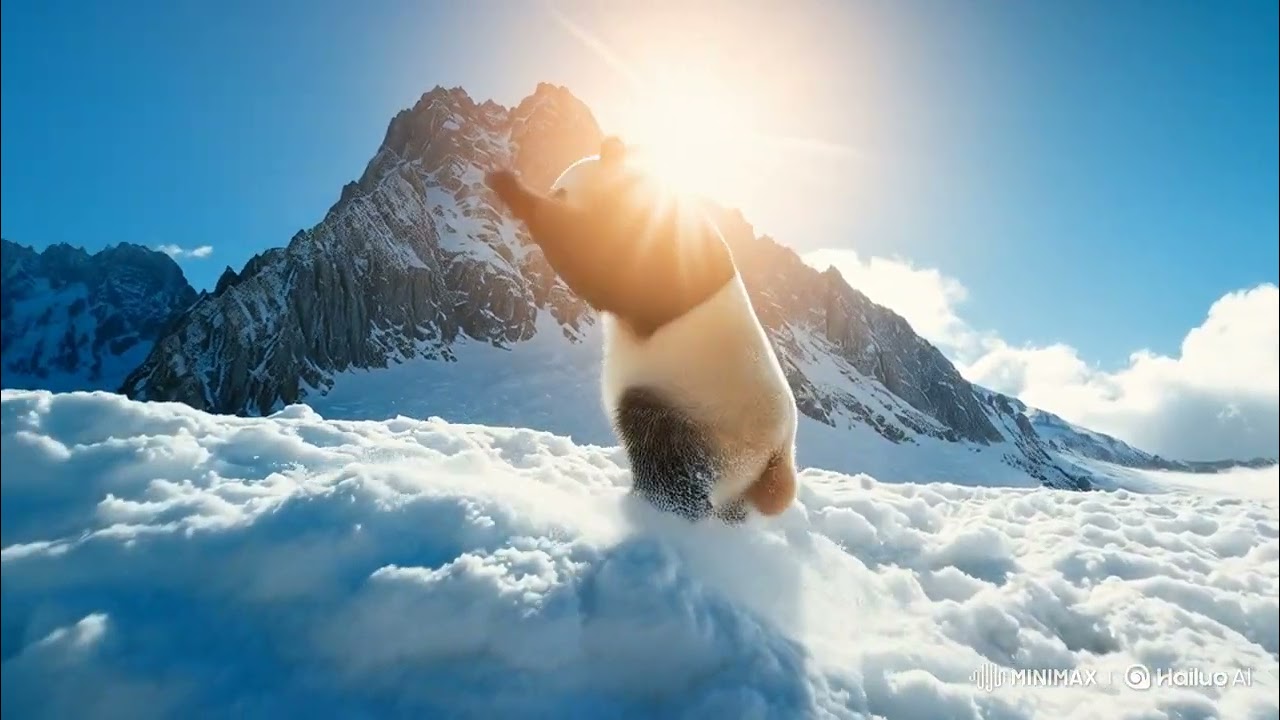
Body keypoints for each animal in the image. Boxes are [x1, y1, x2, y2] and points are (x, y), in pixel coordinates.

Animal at [485, 136, 798, 524]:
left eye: (561, 191)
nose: (551, 191)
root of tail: (779, 454)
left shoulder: (665, 247)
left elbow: (596, 261)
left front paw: (507, 185)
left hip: (698, 412)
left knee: (664, 456)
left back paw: (654, 507)